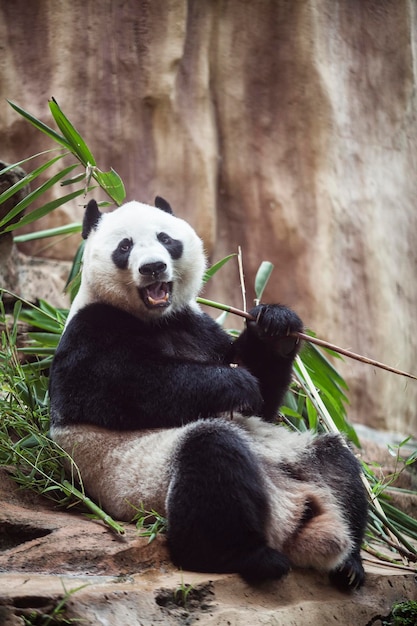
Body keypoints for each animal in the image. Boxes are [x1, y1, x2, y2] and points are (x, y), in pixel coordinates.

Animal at [49, 196, 368, 588]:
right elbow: (126, 387)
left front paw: (276, 325)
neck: (156, 319)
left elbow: (261, 401)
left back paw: (349, 565)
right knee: (212, 461)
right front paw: (233, 383)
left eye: (166, 238)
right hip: (148, 480)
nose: (153, 267)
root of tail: (292, 513)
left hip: (295, 453)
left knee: (338, 463)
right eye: (124, 247)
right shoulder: (88, 332)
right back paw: (249, 558)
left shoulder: (196, 325)